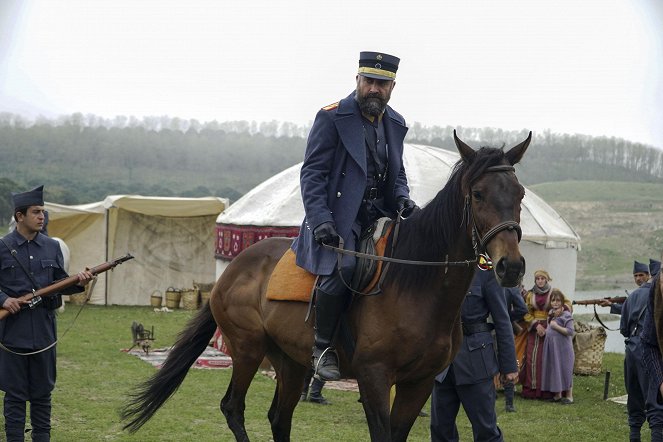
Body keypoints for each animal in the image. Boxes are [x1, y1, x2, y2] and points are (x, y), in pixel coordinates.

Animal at [122, 129, 532, 440]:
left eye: (520, 194)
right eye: (477, 194)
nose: (510, 266)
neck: (416, 288)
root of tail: (234, 268)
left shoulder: (420, 382)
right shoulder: (374, 377)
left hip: (290, 362)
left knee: (278, 417)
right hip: (247, 349)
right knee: (233, 407)